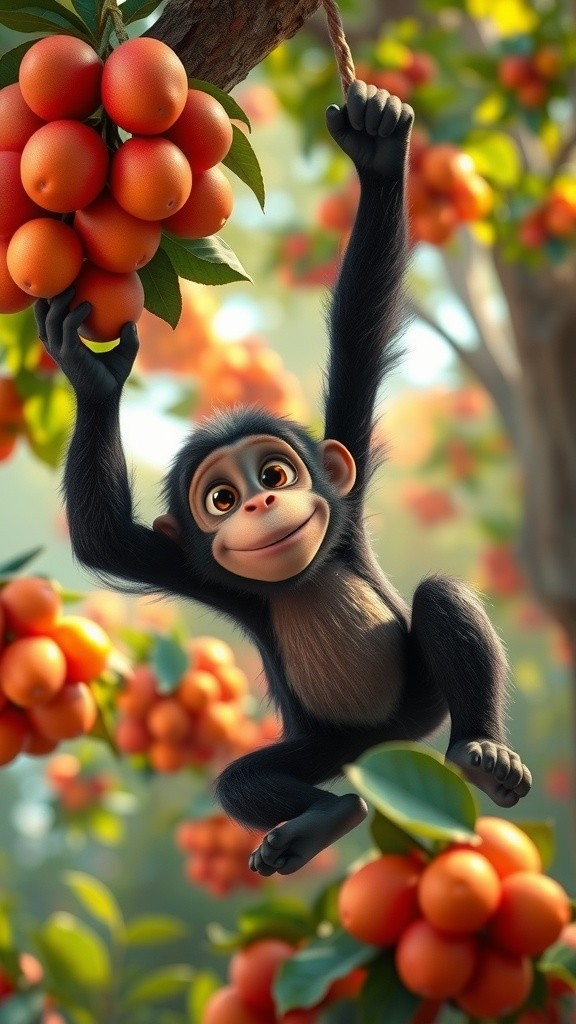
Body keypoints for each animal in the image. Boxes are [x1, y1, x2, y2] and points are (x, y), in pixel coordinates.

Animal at [36, 81, 531, 876]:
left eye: (274, 471)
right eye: (221, 498)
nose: (264, 500)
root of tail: (384, 746)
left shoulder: (345, 497)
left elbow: (361, 323)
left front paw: (379, 154)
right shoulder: (200, 571)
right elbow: (105, 540)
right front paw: (95, 374)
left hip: (418, 703)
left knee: (442, 598)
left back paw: (482, 752)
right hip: (325, 745)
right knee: (246, 781)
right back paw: (323, 819)